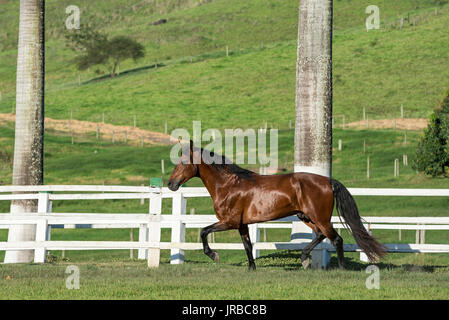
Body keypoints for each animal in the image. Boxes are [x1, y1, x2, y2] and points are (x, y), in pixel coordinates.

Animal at [168, 141, 384, 268]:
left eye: (183, 162)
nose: (170, 184)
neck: (229, 185)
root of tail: (328, 181)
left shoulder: (229, 222)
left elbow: (204, 231)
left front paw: (214, 255)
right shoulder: (242, 225)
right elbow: (248, 246)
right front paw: (252, 268)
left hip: (319, 217)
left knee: (336, 239)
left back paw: (339, 268)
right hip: (306, 216)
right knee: (321, 235)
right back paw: (304, 258)